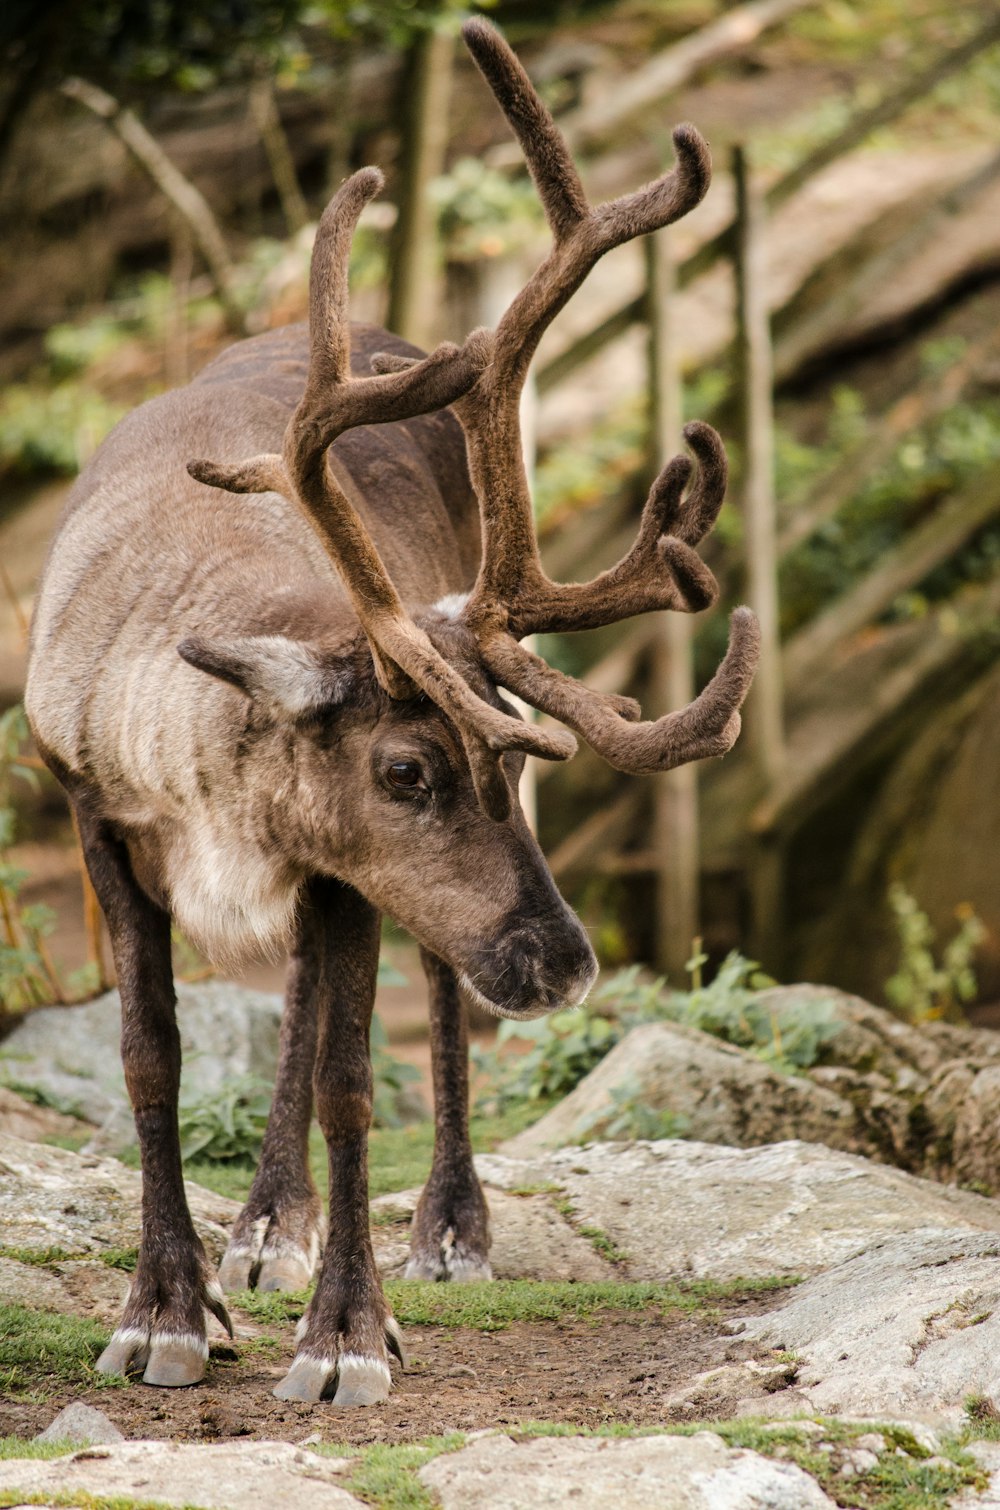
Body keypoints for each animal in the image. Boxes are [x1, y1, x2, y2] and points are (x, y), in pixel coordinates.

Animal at [23, 17, 761, 1407]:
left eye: (503, 761)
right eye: (407, 771)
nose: (564, 961)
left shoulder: (340, 866)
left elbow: (356, 1080)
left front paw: (346, 1333)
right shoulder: (101, 813)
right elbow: (153, 1055)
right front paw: (169, 1308)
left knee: (415, 994)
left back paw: (447, 1228)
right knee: (300, 1002)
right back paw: (265, 1224)